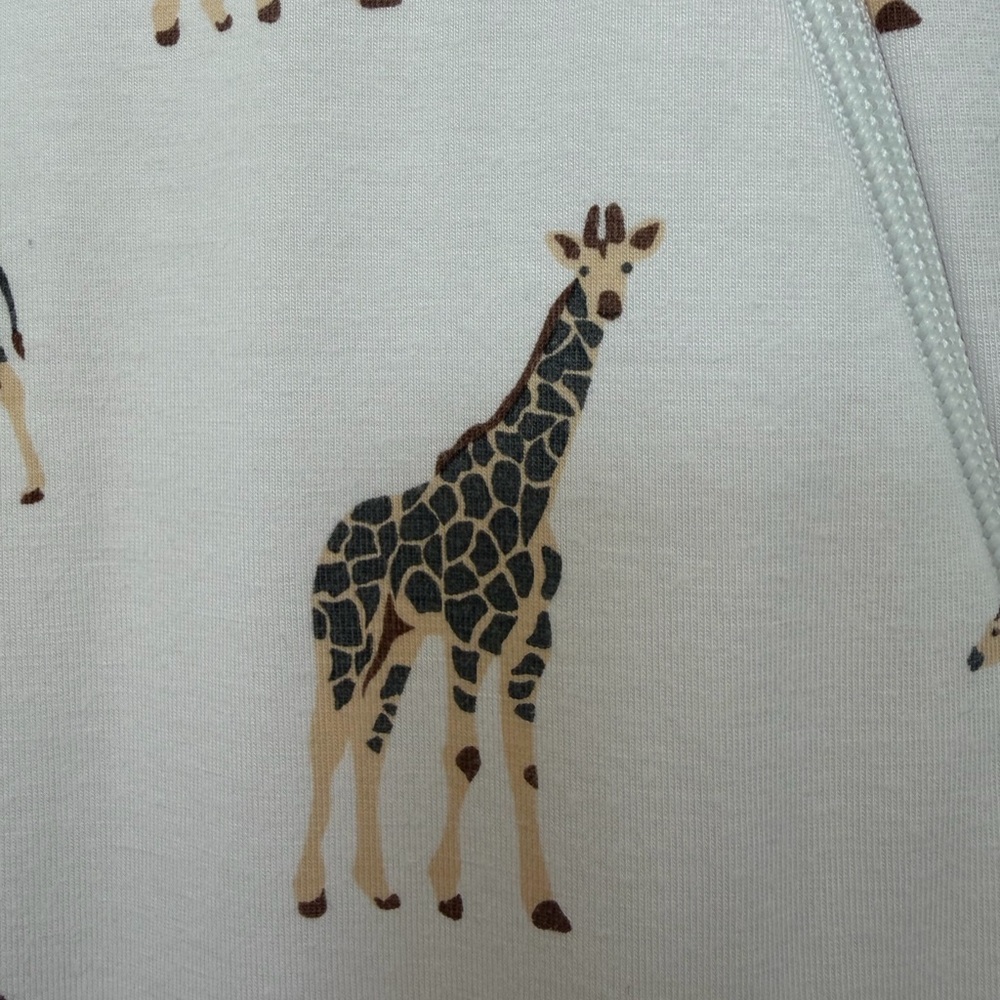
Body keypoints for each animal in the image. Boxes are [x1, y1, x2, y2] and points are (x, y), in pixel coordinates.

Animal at [294, 204, 665, 932]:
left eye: (629, 266)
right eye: (583, 267)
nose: (609, 303)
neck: (532, 492)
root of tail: (330, 537)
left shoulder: (530, 645)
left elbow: (526, 768)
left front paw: (544, 904)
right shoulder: (470, 633)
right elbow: (464, 756)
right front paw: (448, 892)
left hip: (400, 638)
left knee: (370, 734)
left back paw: (377, 886)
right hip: (343, 629)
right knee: (327, 733)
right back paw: (311, 892)